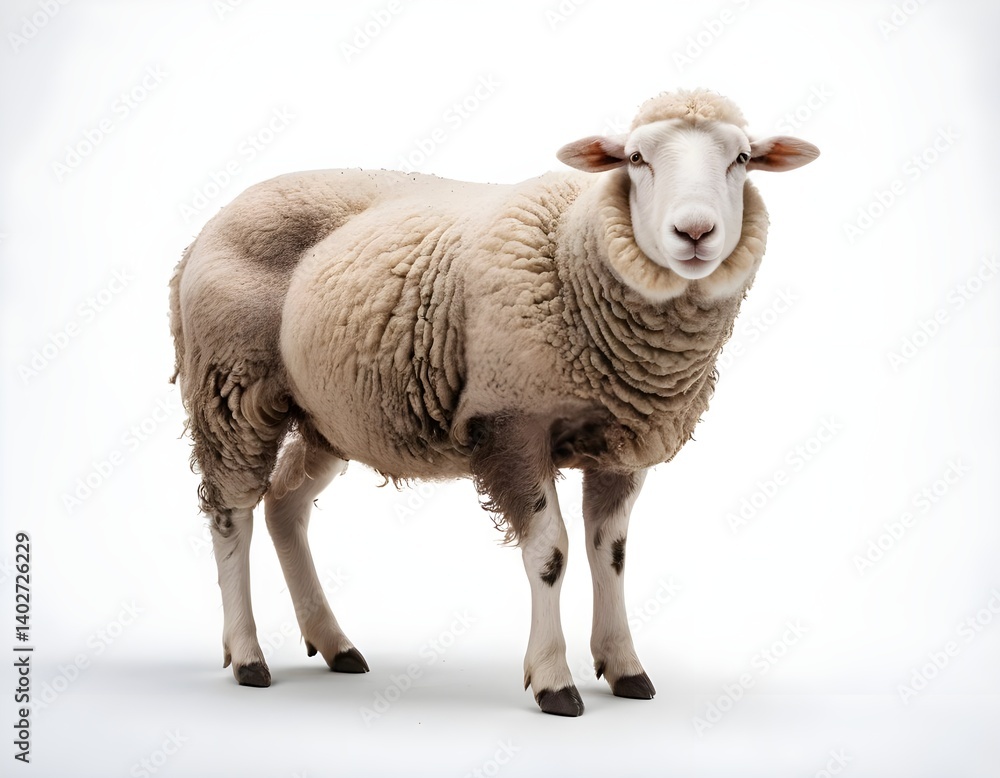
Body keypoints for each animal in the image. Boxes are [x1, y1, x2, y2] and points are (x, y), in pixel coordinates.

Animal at [169, 88, 819, 716]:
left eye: (741, 159)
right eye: (636, 158)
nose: (695, 233)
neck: (573, 252)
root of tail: (208, 226)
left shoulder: (619, 442)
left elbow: (610, 553)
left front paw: (625, 667)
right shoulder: (510, 422)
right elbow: (551, 553)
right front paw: (554, 680)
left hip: (330, 413)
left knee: (285, 505)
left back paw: (334, 643)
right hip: (232, 384)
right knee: (231, 512)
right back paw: (248, 655)